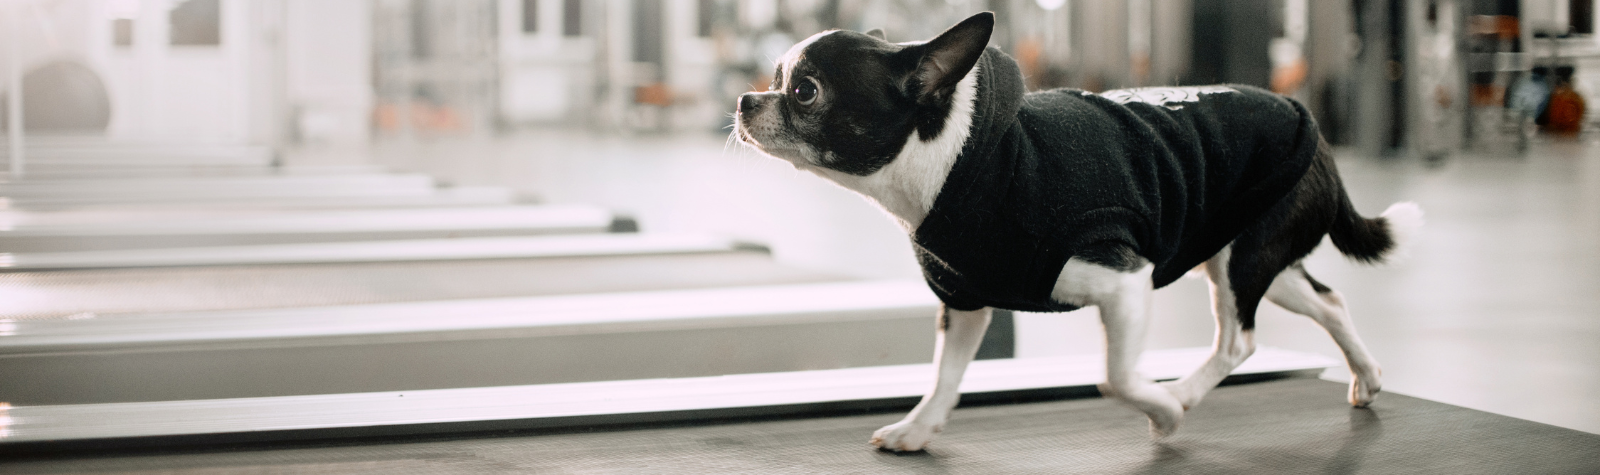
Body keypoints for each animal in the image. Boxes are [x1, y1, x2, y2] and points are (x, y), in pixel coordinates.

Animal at [732, 9, 1420, 447]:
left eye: (805, 91)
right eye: (775, 79)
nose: (745, 100)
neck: (956, 159)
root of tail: (1312, 127)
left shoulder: (1124, 280)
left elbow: (1113, 376)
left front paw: (1162, 408)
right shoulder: (966, 300)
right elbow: (946, 374)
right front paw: (920, 429)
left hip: (1243, 259)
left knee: (1238, 342)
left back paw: (1183, 396)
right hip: (1256, 258)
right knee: (1327, 300)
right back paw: (1368, 376)